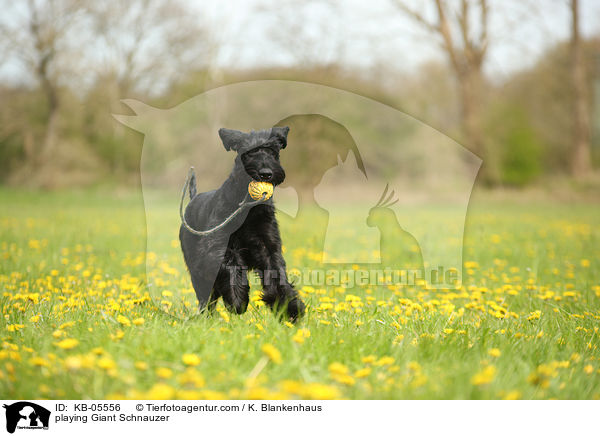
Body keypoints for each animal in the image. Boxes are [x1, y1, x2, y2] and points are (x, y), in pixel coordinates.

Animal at [179, 126, 304, 320]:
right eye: (249, 152)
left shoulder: (269, 247)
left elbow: (276, 274)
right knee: (206, 294)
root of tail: (193, 200)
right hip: (195, 265)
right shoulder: (218, 247)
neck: (249, 208)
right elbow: (232, 266)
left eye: (272, 150)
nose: (266, 173)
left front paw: (288, 308)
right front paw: (238, 300)